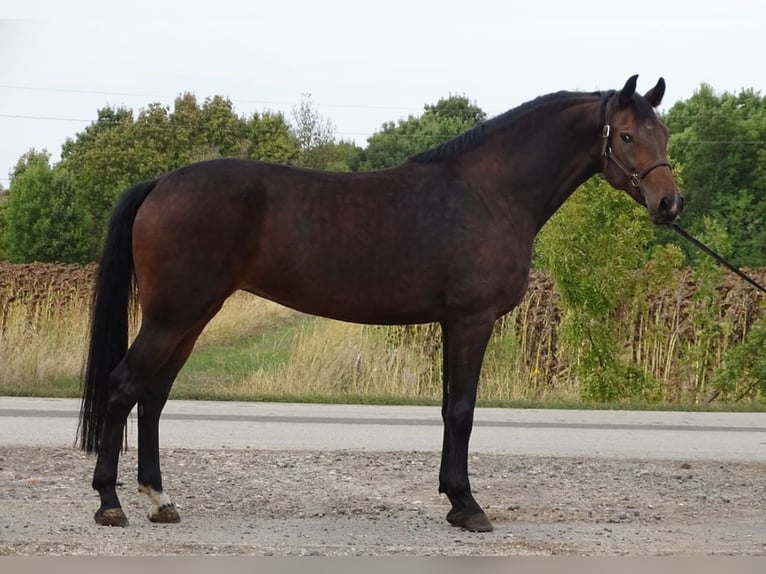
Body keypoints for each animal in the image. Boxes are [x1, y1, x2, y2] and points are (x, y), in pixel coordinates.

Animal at [78, 76, 684, 536]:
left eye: (664, 133)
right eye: (626, 135)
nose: (669, 203)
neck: (490, 193)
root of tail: (162, 183)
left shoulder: (452, 323)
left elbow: (448, 409)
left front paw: (452, 499)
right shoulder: (472, 320)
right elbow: (462, 410)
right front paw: (468, 507)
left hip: (191, 317)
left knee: (153, 396)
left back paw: (159, 499)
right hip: (172, 316)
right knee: (124, 386)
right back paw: (110, 502)